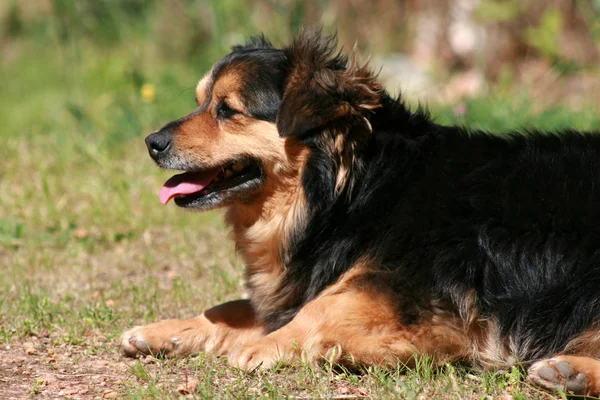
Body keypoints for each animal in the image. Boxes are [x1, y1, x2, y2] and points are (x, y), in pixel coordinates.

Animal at [120, 32, 600, 396]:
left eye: (228, 110)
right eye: (201, 102)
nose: (152, 142)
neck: (353, 192)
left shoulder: (412, 288)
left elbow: (316, 310)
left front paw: (274, 345)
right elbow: (236, 306)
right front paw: (165, 330)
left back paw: (569, 372)